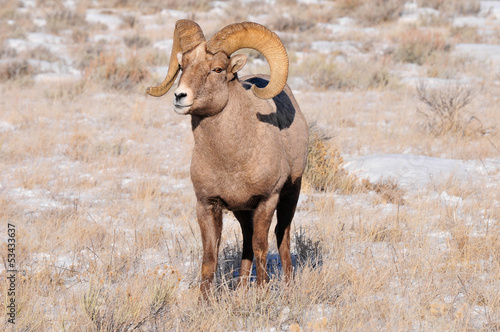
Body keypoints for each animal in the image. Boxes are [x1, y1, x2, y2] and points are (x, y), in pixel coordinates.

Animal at [146, 18, 308, 298]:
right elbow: (210, 257)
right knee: (246, 242)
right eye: (182, 66)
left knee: (281, 236)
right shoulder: (207, 204)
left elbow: (261, 246)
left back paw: (287, 286)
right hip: (243, 212)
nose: (180, 97)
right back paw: (242, 289)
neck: (231, 161)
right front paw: (205, 302)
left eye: (217, 69)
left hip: (290, 194)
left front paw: (261, 294)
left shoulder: (267, 200)